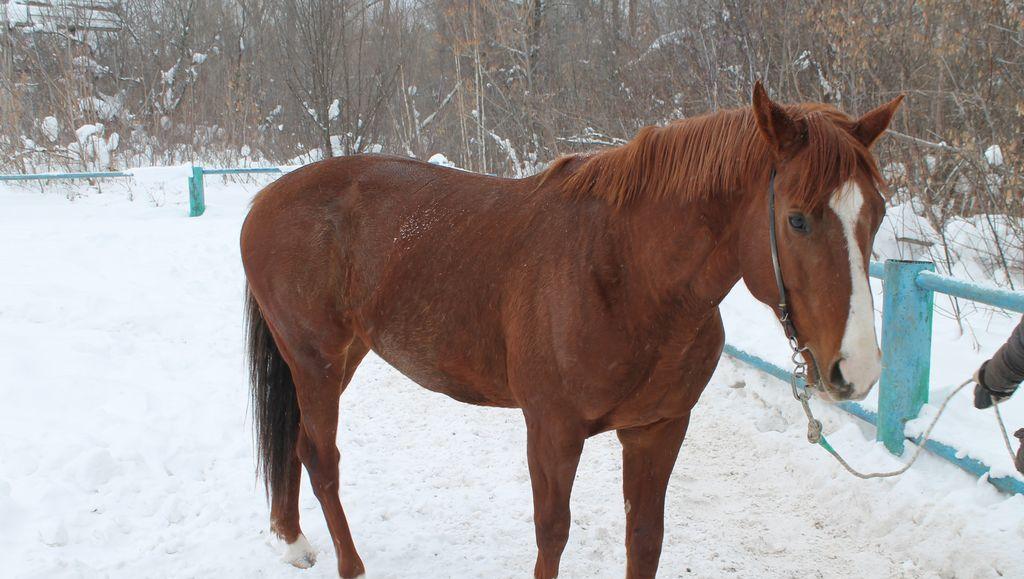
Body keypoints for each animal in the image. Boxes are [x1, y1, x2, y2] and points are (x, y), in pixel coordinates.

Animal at [241, 82, 905, 577]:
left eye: (875, 212)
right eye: (796, 219)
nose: (858, 368)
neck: (625, 276)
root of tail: (265, 199)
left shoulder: (657, 430)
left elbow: (645, 538)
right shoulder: (552, 432)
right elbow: (552, 535)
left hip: (343, 356)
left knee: (296, 444)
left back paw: (293, 539)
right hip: (316, 359)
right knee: (320, 456)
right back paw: (347, 564)